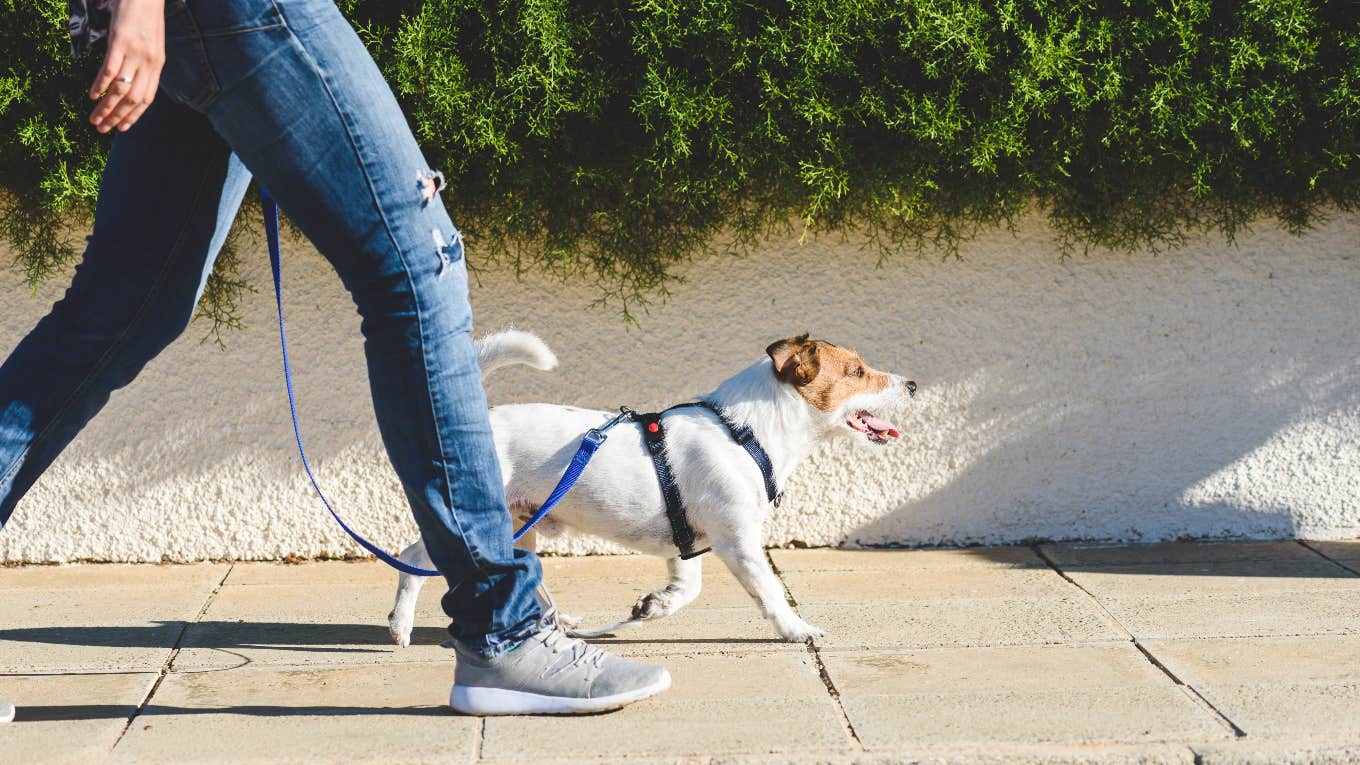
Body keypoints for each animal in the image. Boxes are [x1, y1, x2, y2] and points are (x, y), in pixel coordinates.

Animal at [386, 329, 913, 642]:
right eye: (857, 371)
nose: (911, 384)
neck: (746, 432)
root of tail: (481, 422)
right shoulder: (739, 542)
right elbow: (770, 592)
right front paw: (796, 628)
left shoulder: (689, 544)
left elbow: (687, 589)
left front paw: (654, 606)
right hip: (478, 521)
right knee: (412, 559)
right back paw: (401, 625)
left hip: (521, 525)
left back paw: (558, 623)